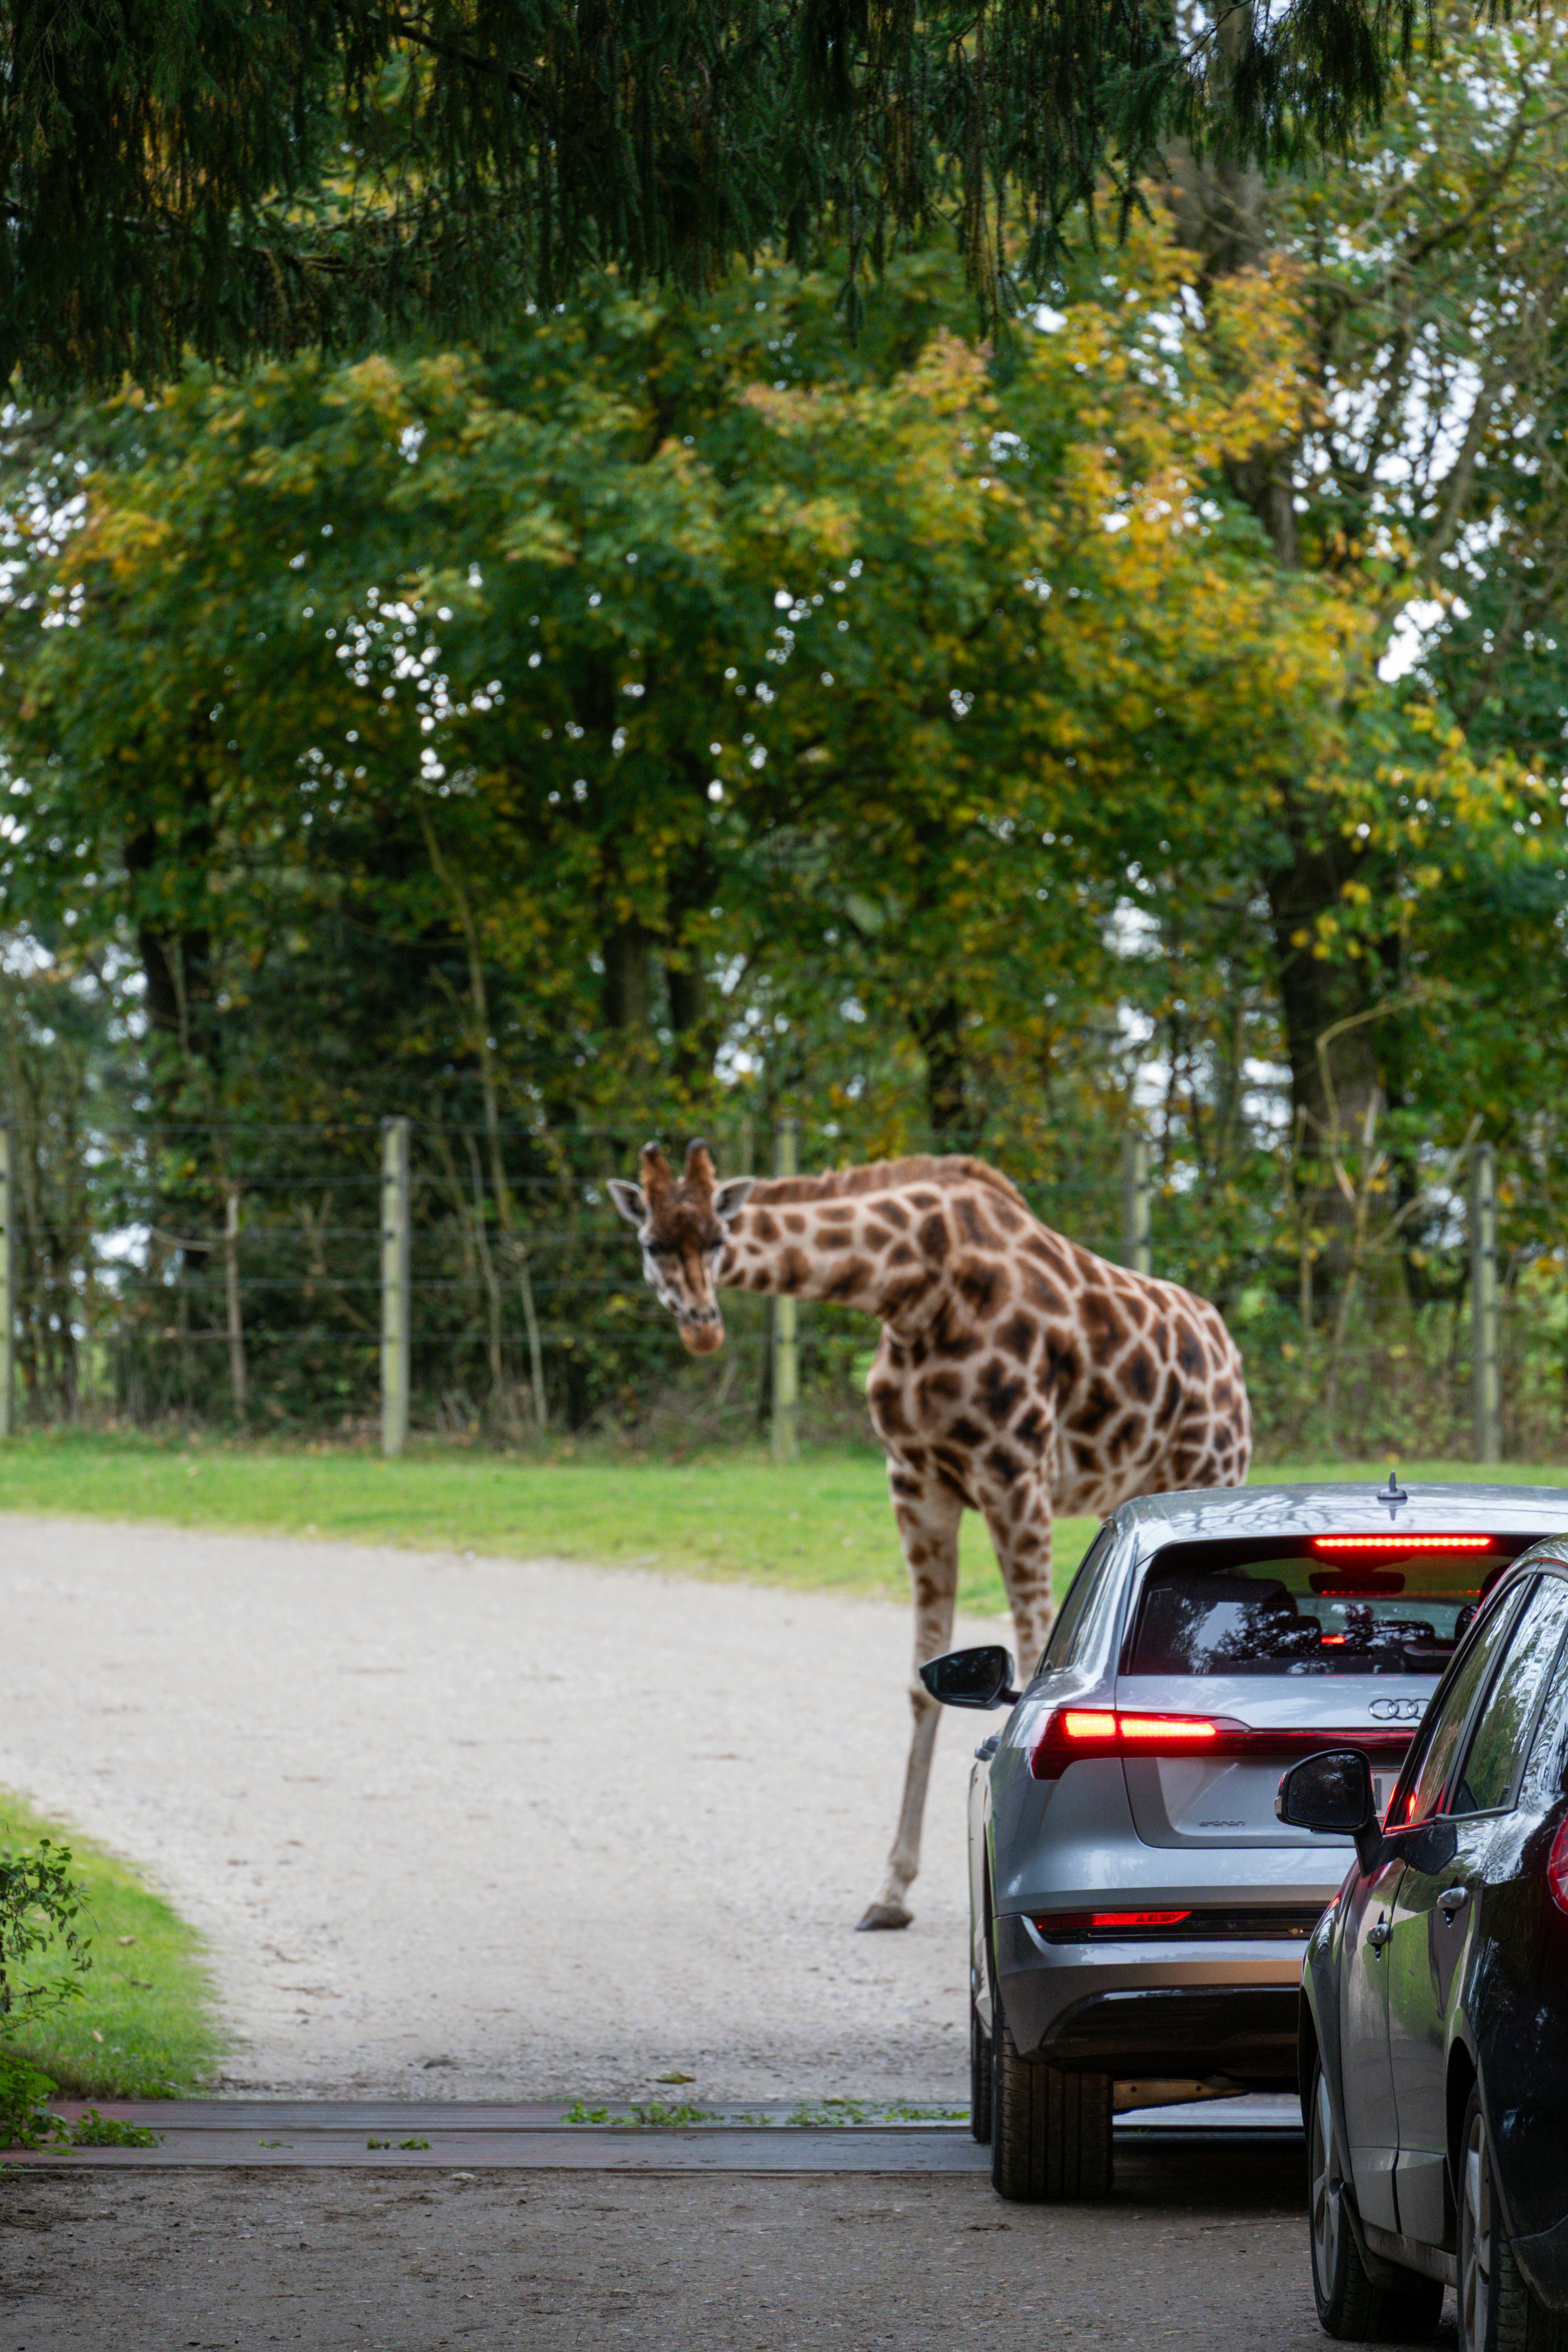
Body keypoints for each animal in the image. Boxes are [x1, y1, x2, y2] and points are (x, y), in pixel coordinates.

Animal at [609, 1138, 1252, 1929]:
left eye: (718, 1237)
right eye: (651, 1242)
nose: (703, 1324)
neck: (911, 1286)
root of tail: (1224, 1346)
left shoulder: (1014, 1475)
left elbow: (1030, 1660)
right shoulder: (917, 1483)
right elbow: (925, 1681)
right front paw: (892, 1889)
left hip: (1212, 1469)